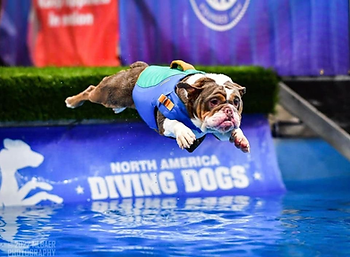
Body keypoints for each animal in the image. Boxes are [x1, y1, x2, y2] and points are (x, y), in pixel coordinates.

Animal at [65, 60, 250, 152]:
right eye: (213, 101)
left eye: (236, 102)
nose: (229, 110)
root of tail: (140, 67)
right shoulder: (163, 121)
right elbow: (174, 122)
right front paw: (184, 134)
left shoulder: (218, 131)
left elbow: (231, 131)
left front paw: (240, 138)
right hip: (110, 93)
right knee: (91, 90)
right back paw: (72, 101)